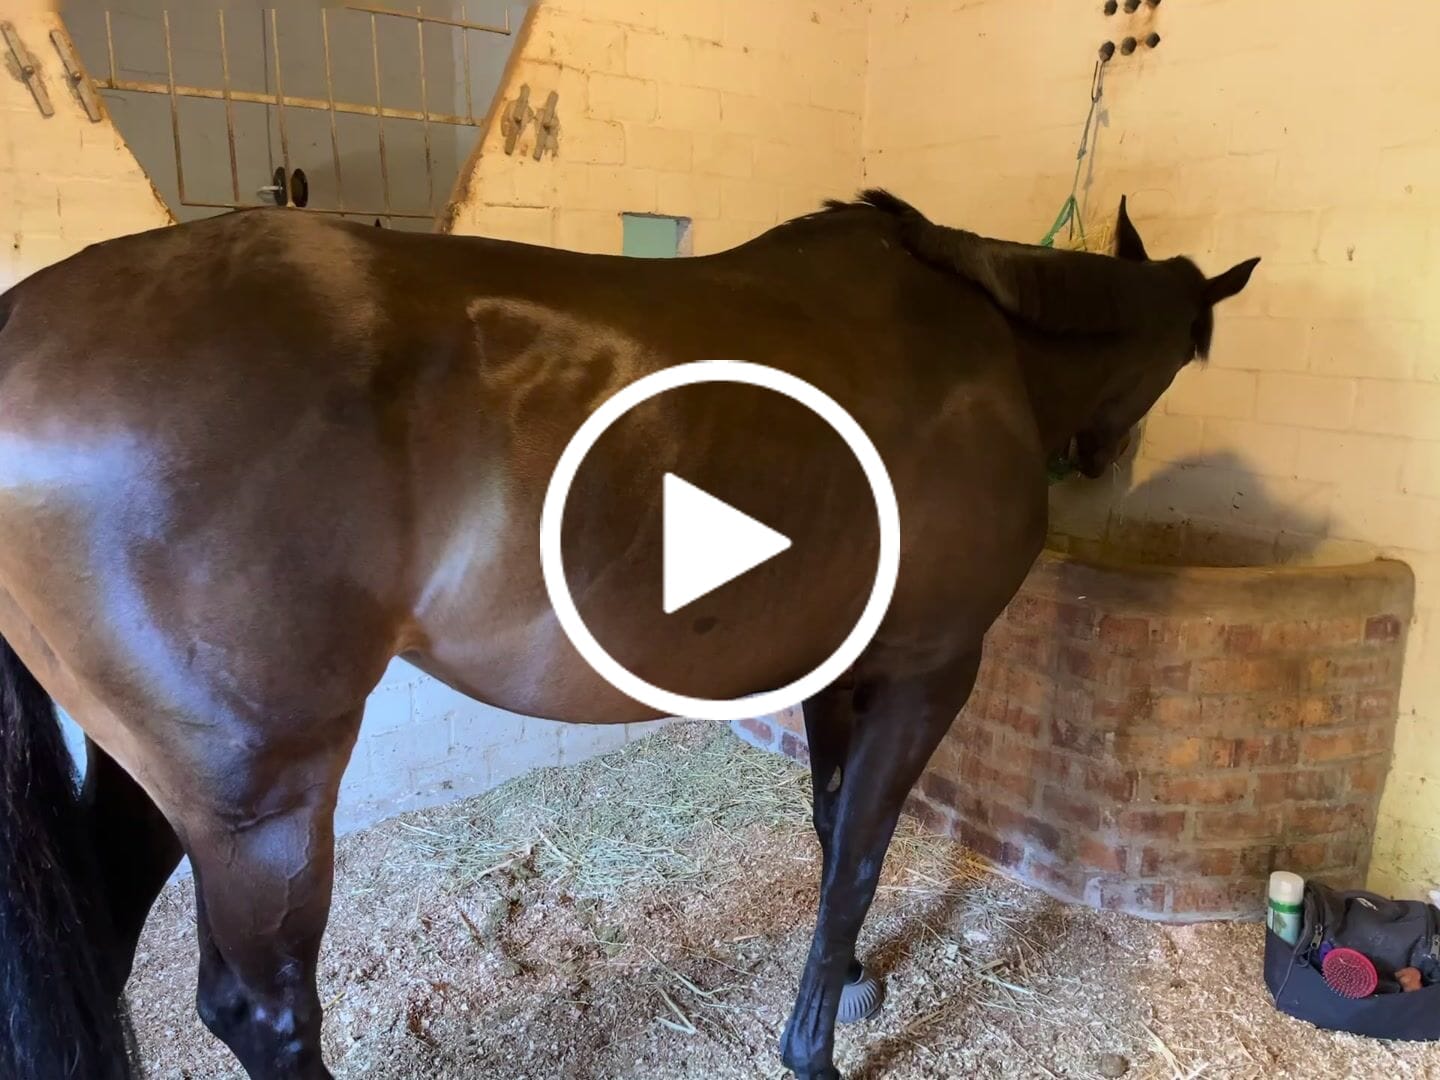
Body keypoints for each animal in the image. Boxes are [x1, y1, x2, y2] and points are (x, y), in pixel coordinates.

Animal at [0, 189, 1257, 1080]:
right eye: (1181, 361)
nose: (1103, 460)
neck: (985, 348)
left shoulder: (843, 670)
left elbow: (830, 830)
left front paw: (850, 979)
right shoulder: (930, 671)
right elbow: (859, 853)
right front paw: (815, 1051)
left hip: (155, 781)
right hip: (257, 800)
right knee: (259, 1012)